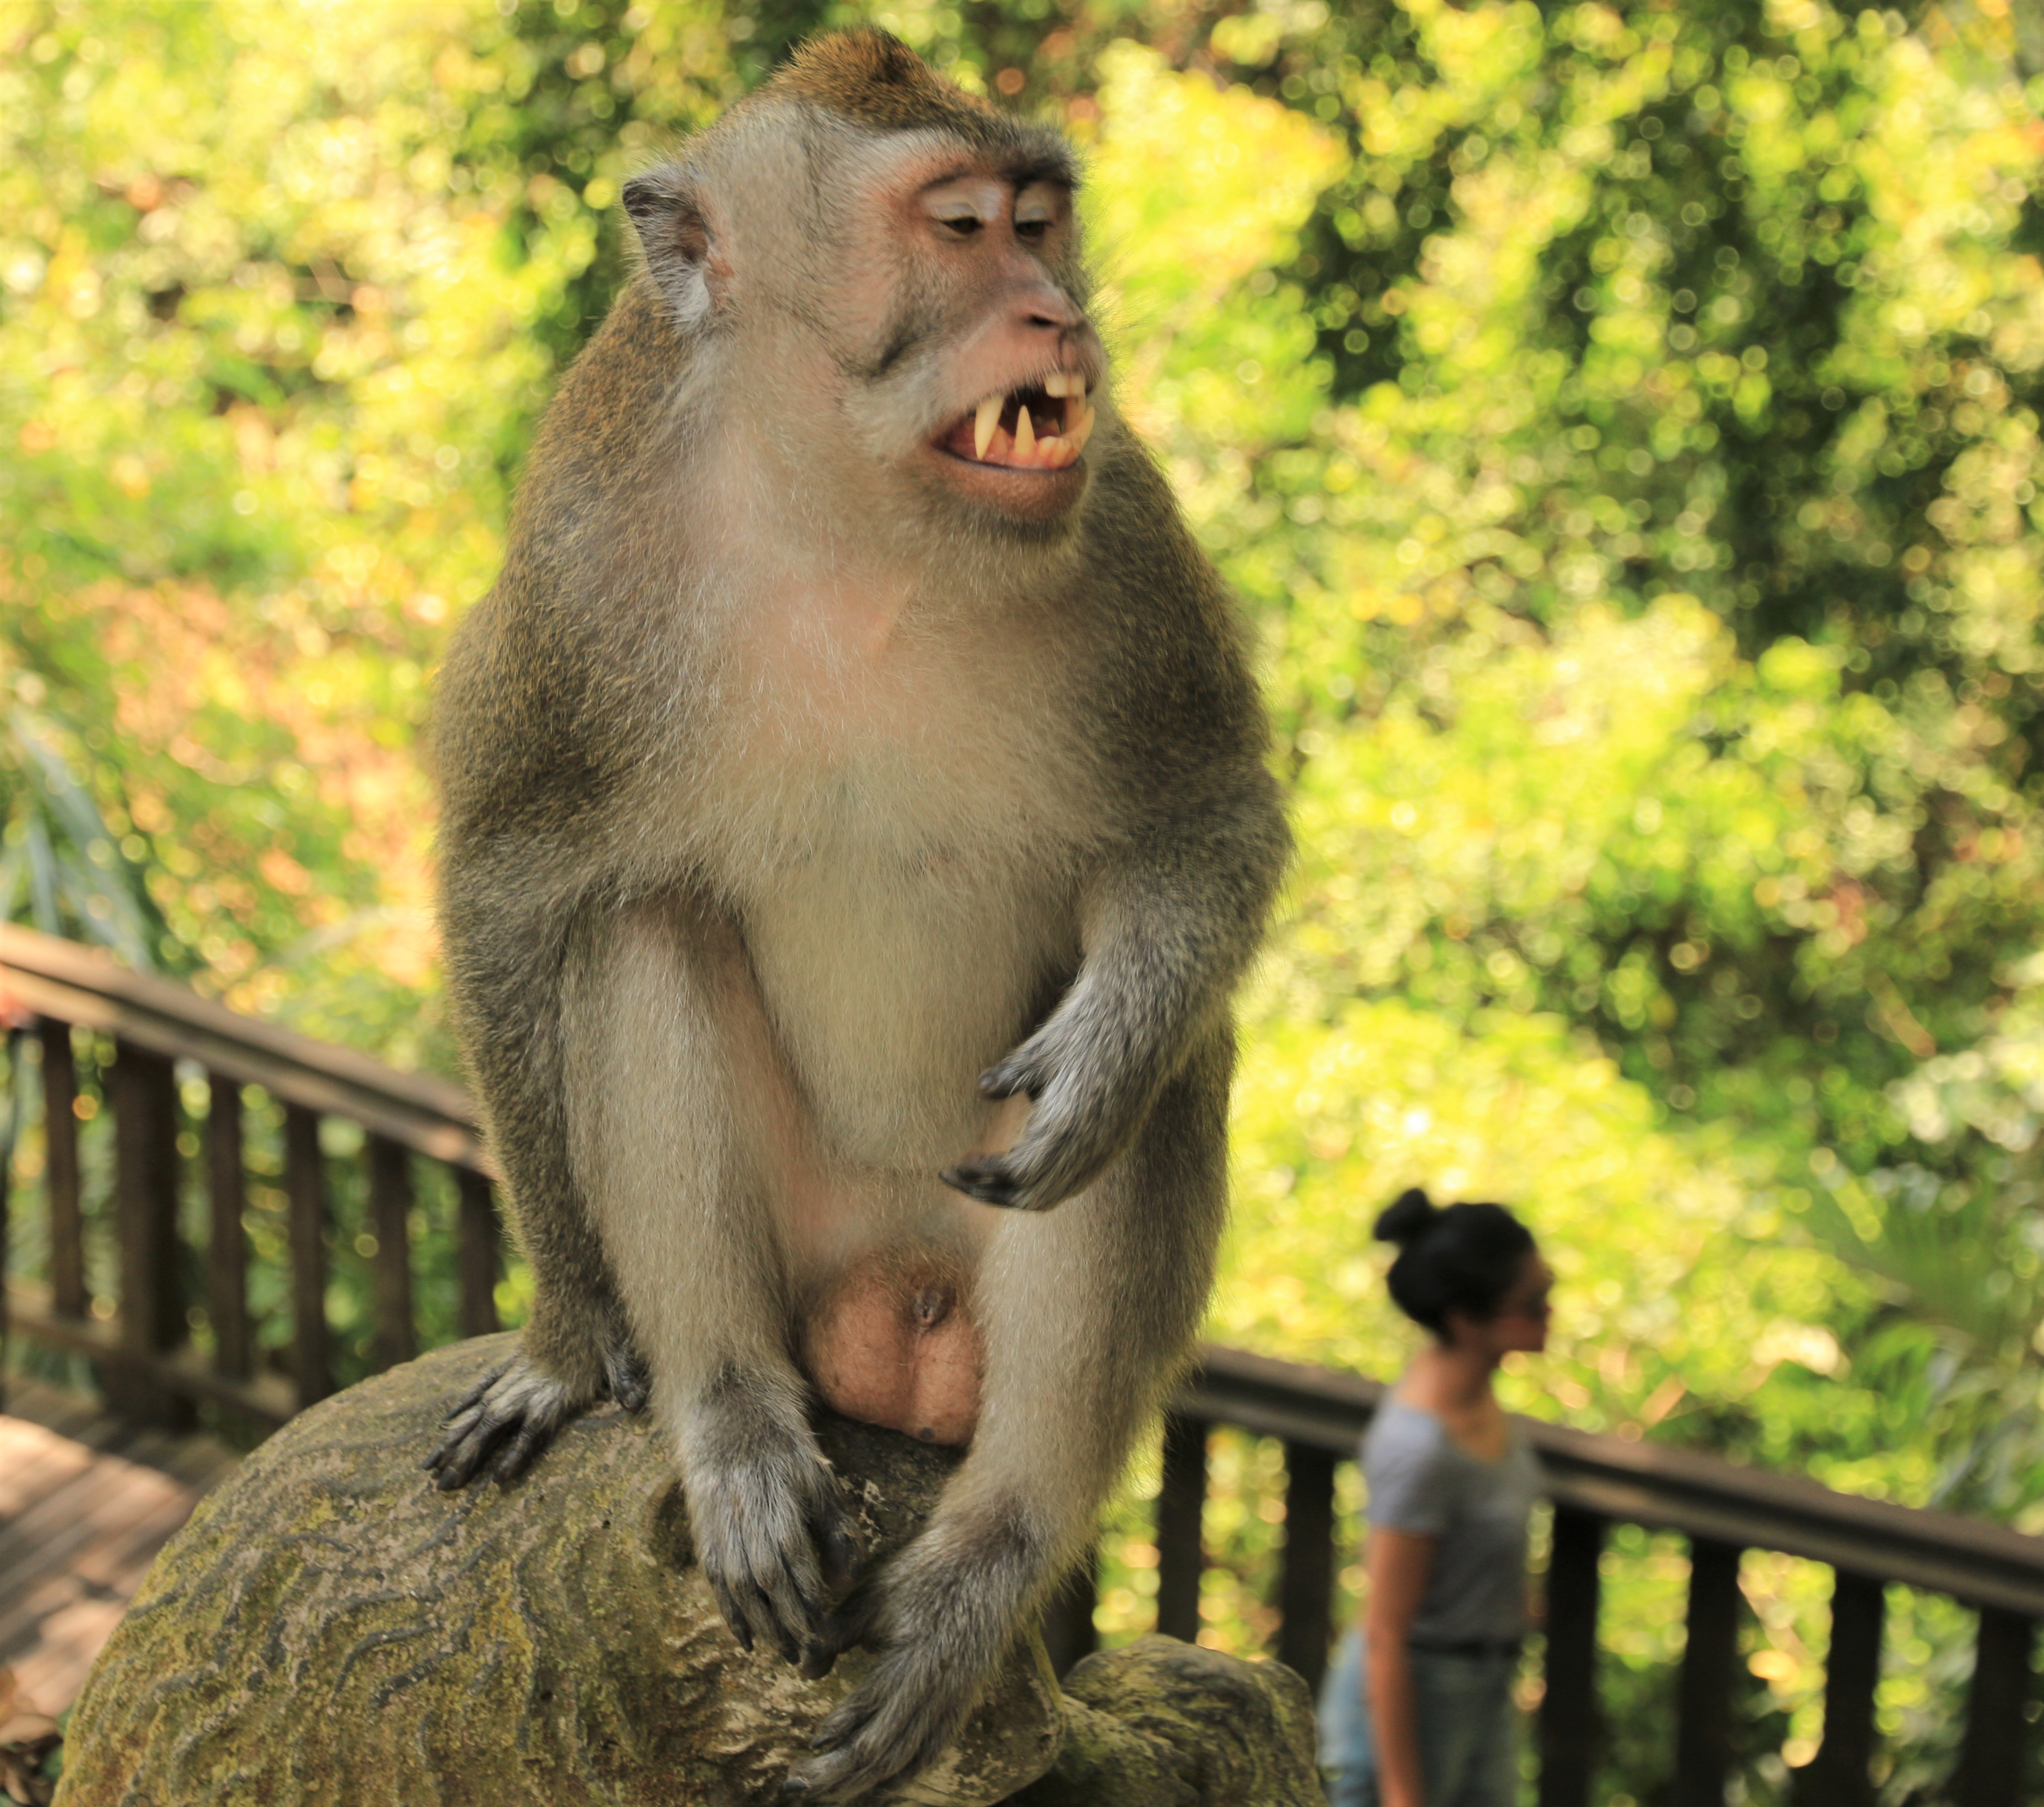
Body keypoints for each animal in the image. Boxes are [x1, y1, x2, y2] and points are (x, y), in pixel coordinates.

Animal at [425, 29, 1289, 1801]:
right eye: (955, 226)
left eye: (1041, 220)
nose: (1055, 316)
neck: (857, 522)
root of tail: (886, 1300)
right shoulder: (579, 578)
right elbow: (508, 877)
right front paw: (565, 1340)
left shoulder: (1127, 531)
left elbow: (1208, 809)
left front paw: (1108, 1046)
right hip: (800, 1234)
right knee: (641, 930)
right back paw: (734, 1424)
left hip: (965, 1231)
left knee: (1153, 1102)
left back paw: (985, 1564)